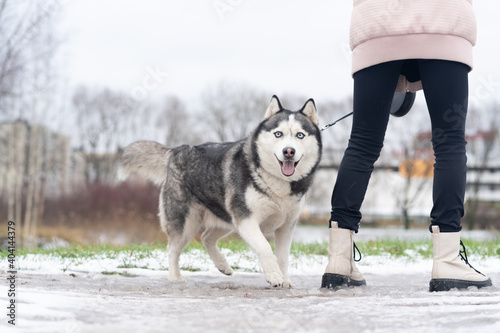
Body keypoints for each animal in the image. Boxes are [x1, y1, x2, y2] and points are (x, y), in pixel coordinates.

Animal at [117, 95, 322, 286]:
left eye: (300, 135)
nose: (289, 151)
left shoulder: (286, 225)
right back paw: (176, 278)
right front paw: (274, 277)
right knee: (173, 249)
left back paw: (223, 265)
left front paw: (285, 279)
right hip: (187, 222)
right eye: (278, 134)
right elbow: (265, 248)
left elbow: (283, 257)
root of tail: (177, 150)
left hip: (226, 219)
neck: (277, 182)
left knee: (206, 237)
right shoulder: (247, 220)